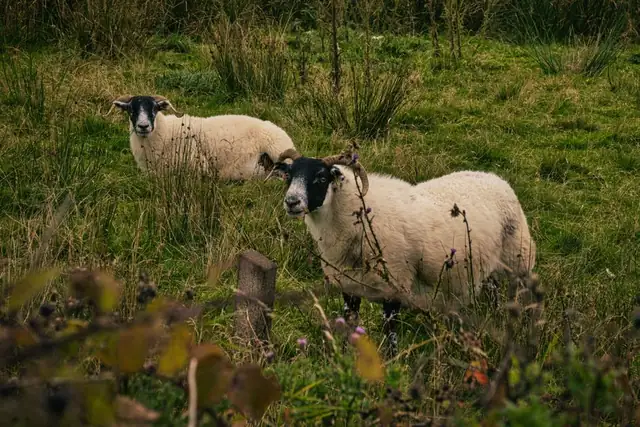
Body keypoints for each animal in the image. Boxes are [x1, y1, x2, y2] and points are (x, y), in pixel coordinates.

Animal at [109, 95, 296, 180]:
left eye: (155, 108)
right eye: (131, 110)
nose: (143, 126)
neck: (166, 132)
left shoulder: (197, 166)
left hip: (278, 150)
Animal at [272, 148, 536, 355]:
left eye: (320, 177)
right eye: (289, 176)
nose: (292, 202)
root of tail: (496, 178)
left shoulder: (395, 285)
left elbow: (390, 333)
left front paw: (391, 363)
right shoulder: (349, 286)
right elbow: (349, 324)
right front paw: (346, 358)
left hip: (520, 257)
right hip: (488, 262)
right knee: (493, 288)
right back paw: (495, 316)